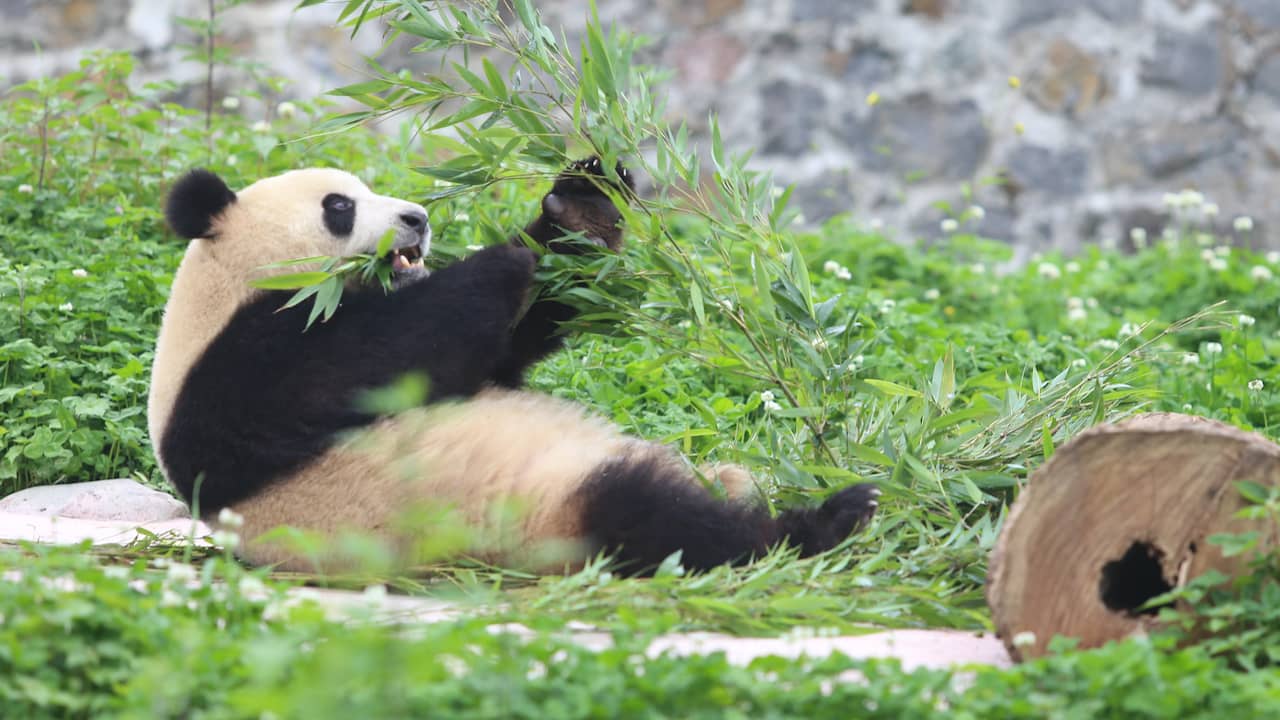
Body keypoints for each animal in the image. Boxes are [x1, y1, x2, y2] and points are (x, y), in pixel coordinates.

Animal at [145, 158, 875, 571]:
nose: (417, 218)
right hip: (545, 514)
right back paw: (827, 521)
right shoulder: (234, 374)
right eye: (340, 207)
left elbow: (508, 343)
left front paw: (581, 204)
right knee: (657, 521)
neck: (225, 285)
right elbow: (362, 364)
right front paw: (498, 260)